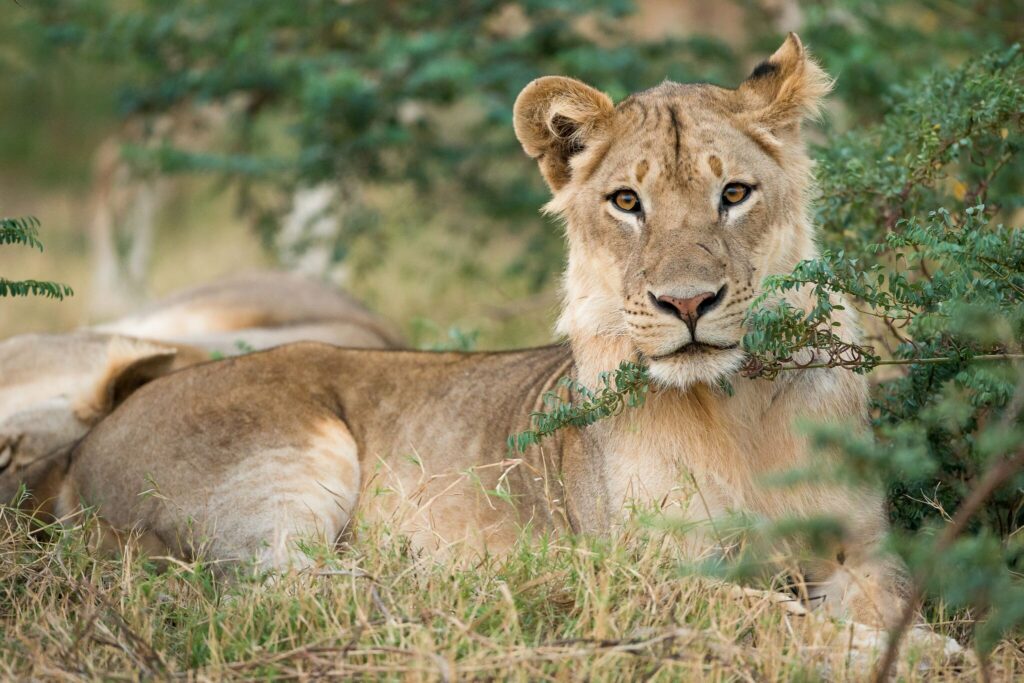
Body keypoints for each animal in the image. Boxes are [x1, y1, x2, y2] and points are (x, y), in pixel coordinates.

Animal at [54, 35, 903, 629]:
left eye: (734, 193)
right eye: (627, 202)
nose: (687, 302)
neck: (737, 410)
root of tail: (81, 449)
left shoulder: (865, 552)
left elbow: (894, 612)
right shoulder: (664, 579)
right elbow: (798, 626)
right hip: (293, 457)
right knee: (276, 591)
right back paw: (469, 585)